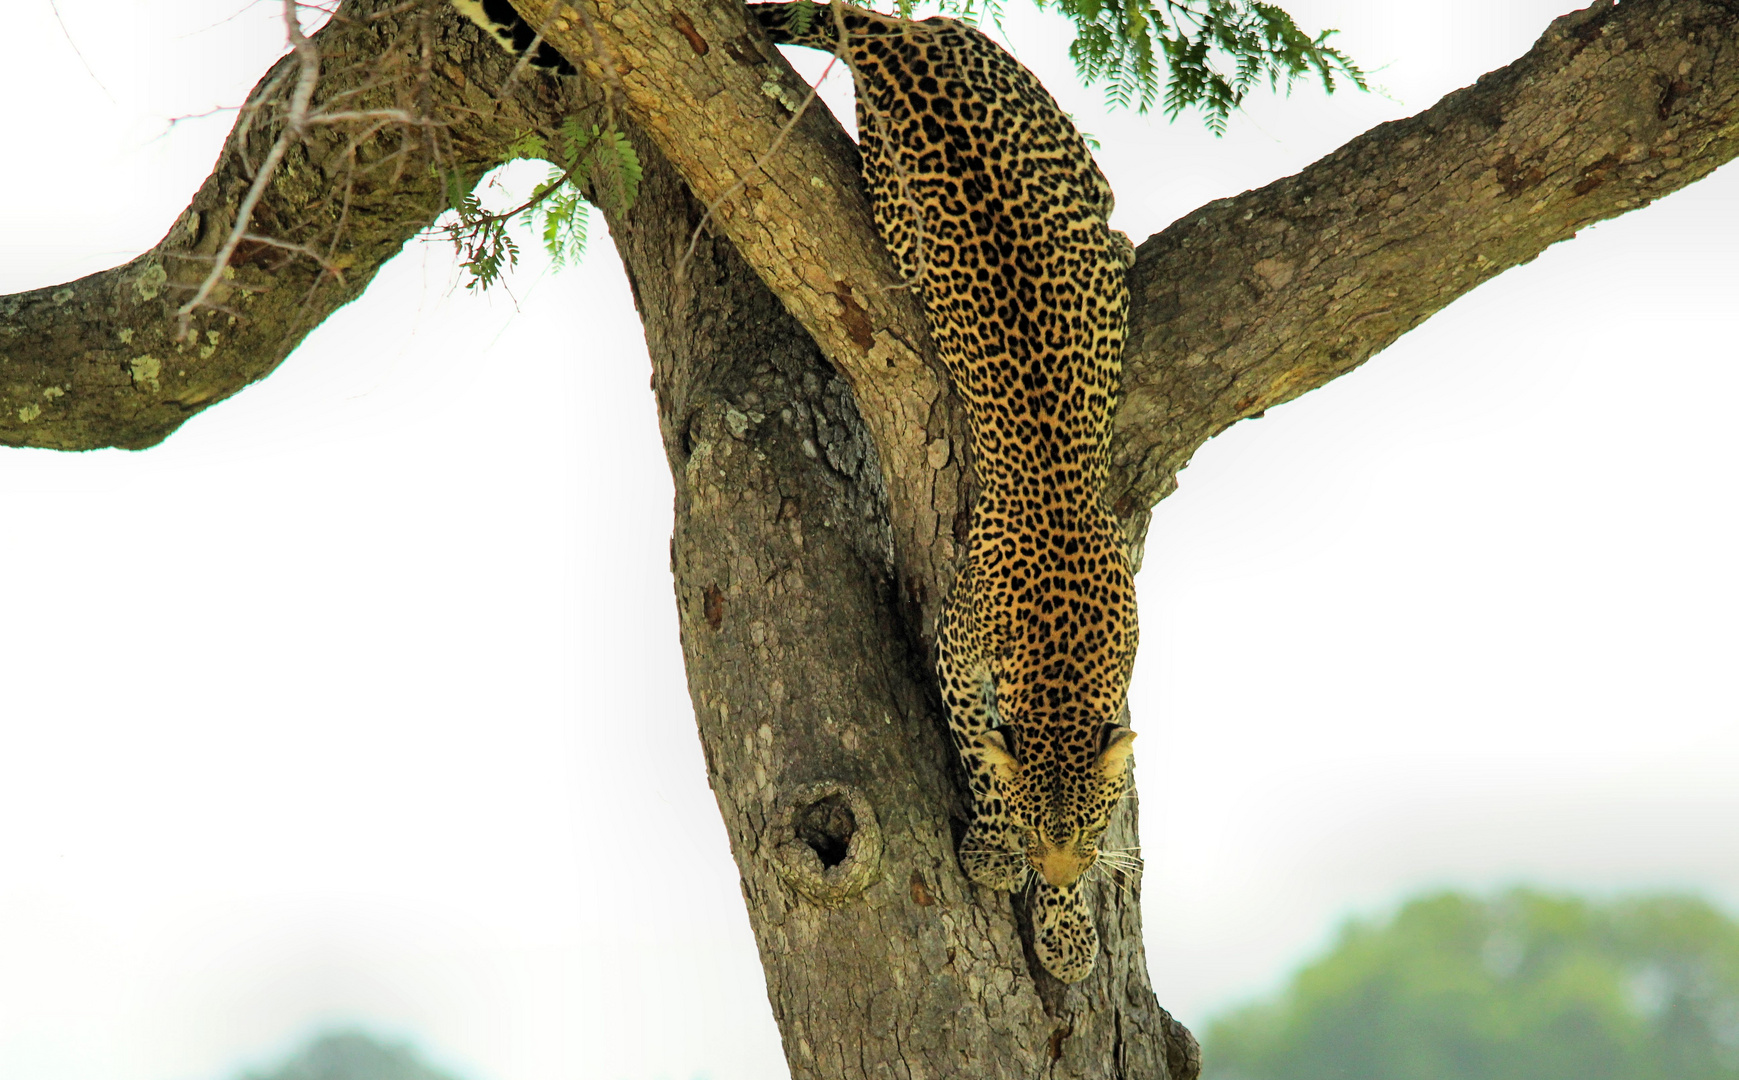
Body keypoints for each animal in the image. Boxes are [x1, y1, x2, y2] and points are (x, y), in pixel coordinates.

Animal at [751, 2, 1140, 973]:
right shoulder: (959, 644)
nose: (1059, 868)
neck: (1063, 660)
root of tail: (899, 41)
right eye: (1044, 832)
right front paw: (1000, 852)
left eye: (1085, 831)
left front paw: (1062, 922)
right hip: (898, 208)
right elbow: (977, 747)